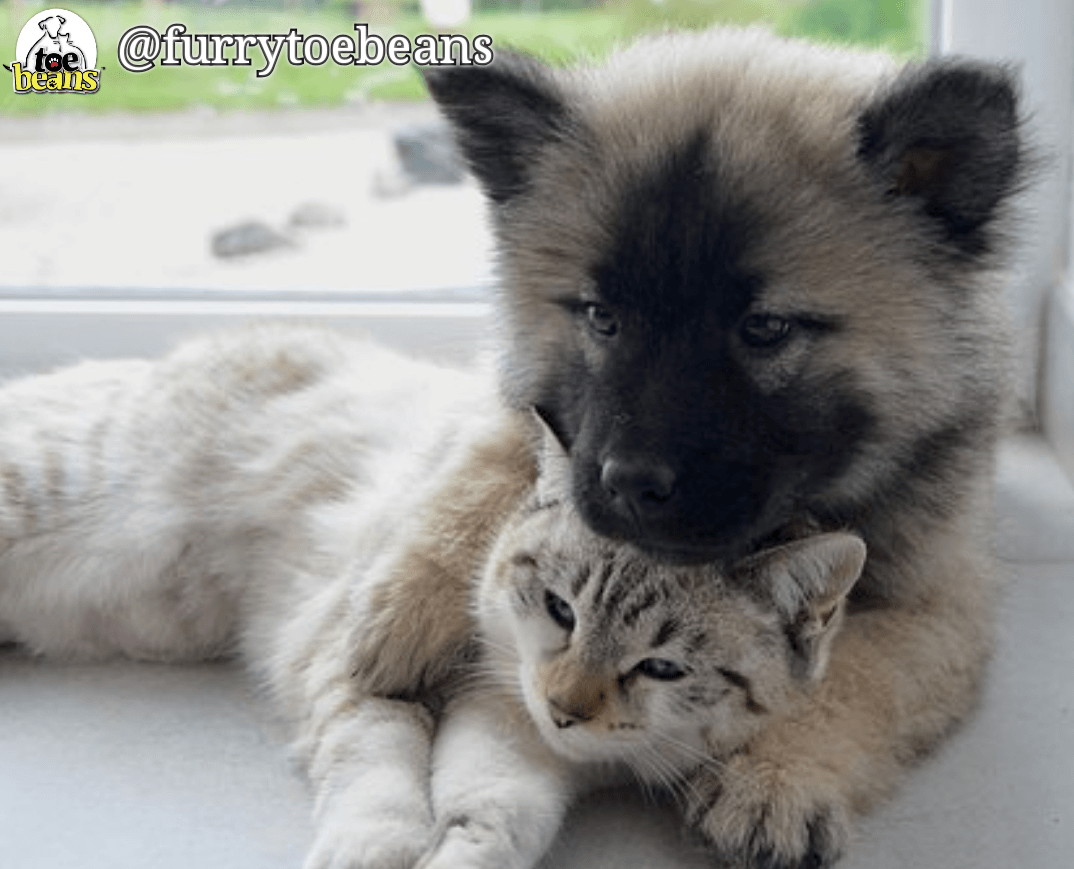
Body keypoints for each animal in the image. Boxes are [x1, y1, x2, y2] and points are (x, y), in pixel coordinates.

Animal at [0, 326, 863, 867]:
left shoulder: (520, 742)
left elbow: (495, 813)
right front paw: (372, 852)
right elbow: (379, 764)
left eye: (662, 668)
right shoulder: (359, 667)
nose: (565, 707)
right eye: (561, 609)